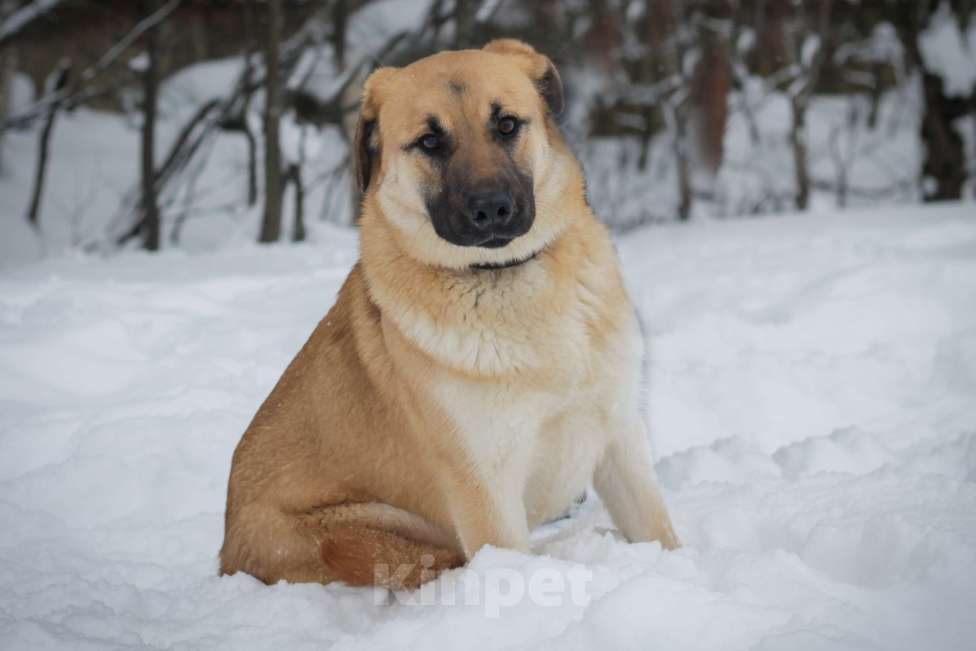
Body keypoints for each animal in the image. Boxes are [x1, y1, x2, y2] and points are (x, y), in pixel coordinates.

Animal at [220, 39, 680, 592]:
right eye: (429, 142)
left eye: (506, 124)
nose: (492, 209)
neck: (508, 279)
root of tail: (227, 551)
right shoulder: (484, 484)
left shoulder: (620, 437)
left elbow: (659, 532)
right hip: (369, 528)